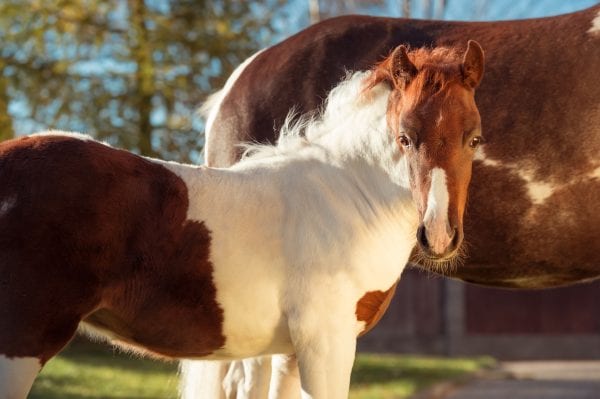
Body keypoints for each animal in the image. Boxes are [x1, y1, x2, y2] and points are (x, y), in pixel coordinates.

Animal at [0, 41, 482, 399]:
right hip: (21, 346)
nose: (439, 236)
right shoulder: (326, 343)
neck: (342, 195)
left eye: (474, 138)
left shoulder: (289, 352)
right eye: (404, 137)